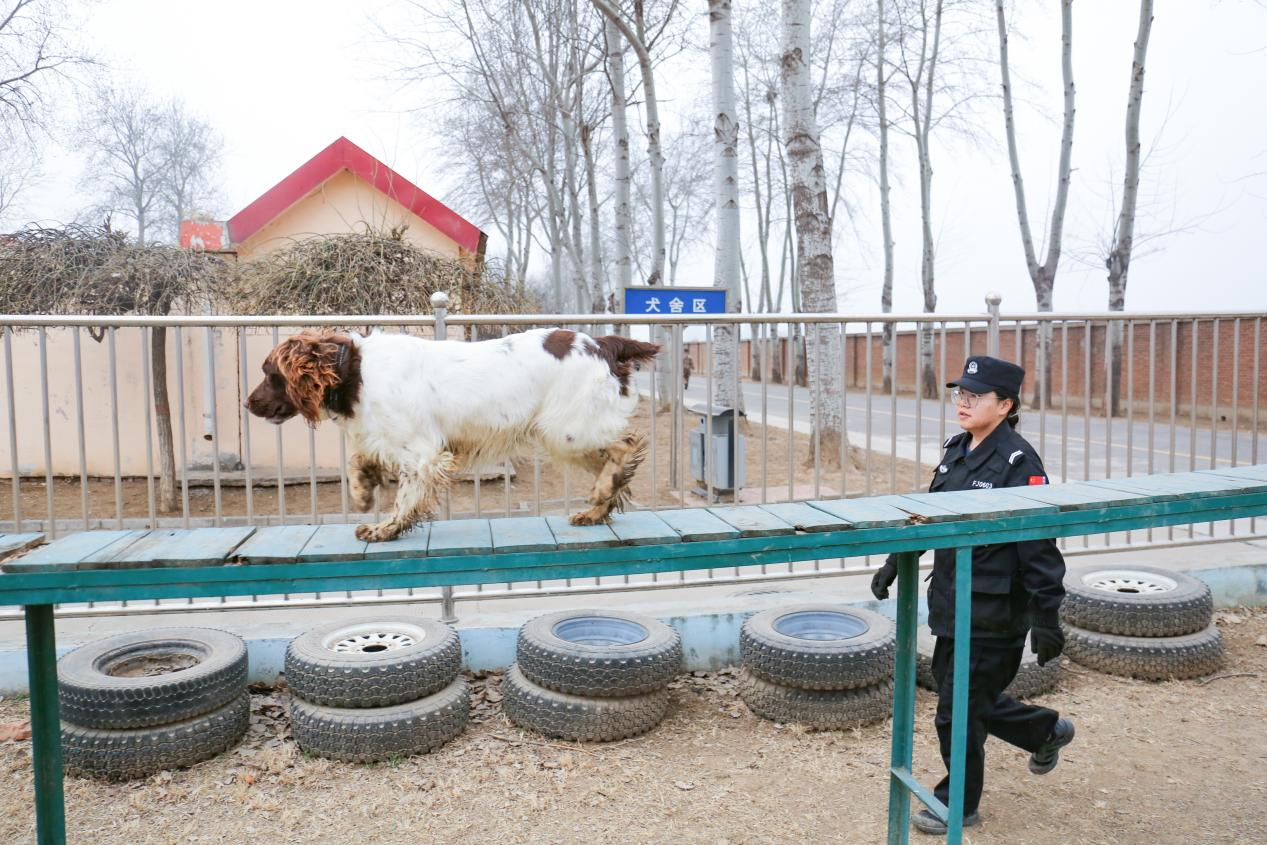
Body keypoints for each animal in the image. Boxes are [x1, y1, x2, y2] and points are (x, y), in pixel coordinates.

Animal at [247, 329, 663, 542]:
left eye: (270, 375)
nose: (249, 404)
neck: (354, 370)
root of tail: (604, 343)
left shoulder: (422, 452)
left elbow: (405, 498)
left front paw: (385, 528)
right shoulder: (381, 436)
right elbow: (356, 462)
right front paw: (363, 492)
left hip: (567, 430)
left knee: (625, 448)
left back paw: (599, 494)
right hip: (569, 436)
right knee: (614, 472)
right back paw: (594, 511)